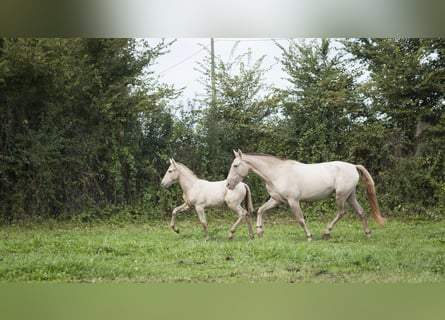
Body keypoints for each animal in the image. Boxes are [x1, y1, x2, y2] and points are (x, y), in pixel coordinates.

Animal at [227, 150, 384, 240]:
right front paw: (260, 231)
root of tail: (353, 166)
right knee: (361, 212)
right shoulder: (277, 200)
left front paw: (309, 236)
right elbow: (261, 210)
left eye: (235, 165)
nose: (228, 185)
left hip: (341, 196)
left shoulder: (293, 201)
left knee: (342, 212)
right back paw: (368, 234)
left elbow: (300, 219)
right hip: (350, 196)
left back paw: (326, 232)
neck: (278, 173)